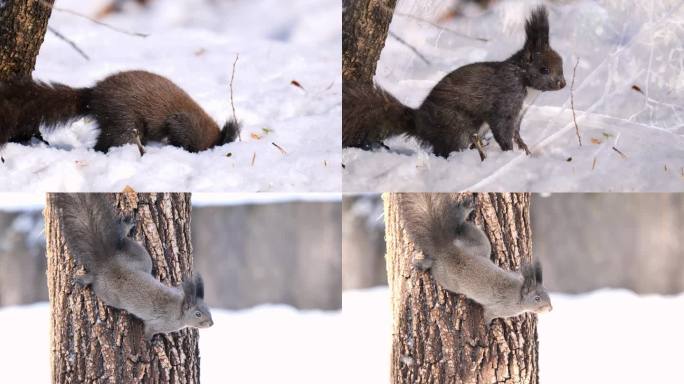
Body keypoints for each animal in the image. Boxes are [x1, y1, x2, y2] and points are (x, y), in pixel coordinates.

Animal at [342, 6, 568, 157]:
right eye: (544, 69)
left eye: (562, 65)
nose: (562, 84)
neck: (524, 81)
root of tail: (419, 123)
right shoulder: (506, 99)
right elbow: (503, 128)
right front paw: (509, 152)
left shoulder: (521, 112)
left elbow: (517, 133)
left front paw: (525, 150)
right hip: (456, 126)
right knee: (449, 147)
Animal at [400, 192, 552, 324]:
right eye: (537, 298)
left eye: (546, 293)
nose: (550, 309)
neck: (519, 292)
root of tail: (447, 249)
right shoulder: (498, 309)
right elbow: (488, 316)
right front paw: (488, 326)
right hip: (446, 279)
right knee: (433, 264)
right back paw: (420, 264)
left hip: (480, 244)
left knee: (460, 226)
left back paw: (463, 211)